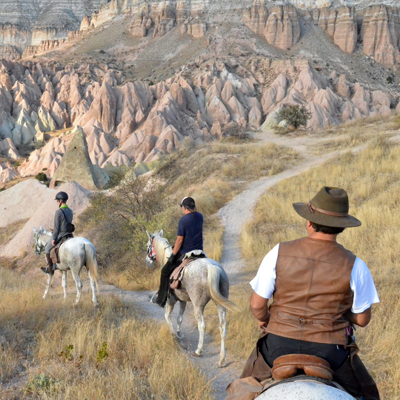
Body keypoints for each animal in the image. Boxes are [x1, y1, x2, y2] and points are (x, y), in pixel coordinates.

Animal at [147, 230, 241, 368]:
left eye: (148, 246)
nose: (147, 260)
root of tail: (211, 267)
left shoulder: (171, 300)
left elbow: (167, 317)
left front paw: (174, 335)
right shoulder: (183, 301)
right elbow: (179, 318)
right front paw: (179, 334)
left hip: (198, 305)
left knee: (201, 325)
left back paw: (198, 351)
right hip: (220, 304)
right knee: (223, 327)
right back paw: (222, 360)